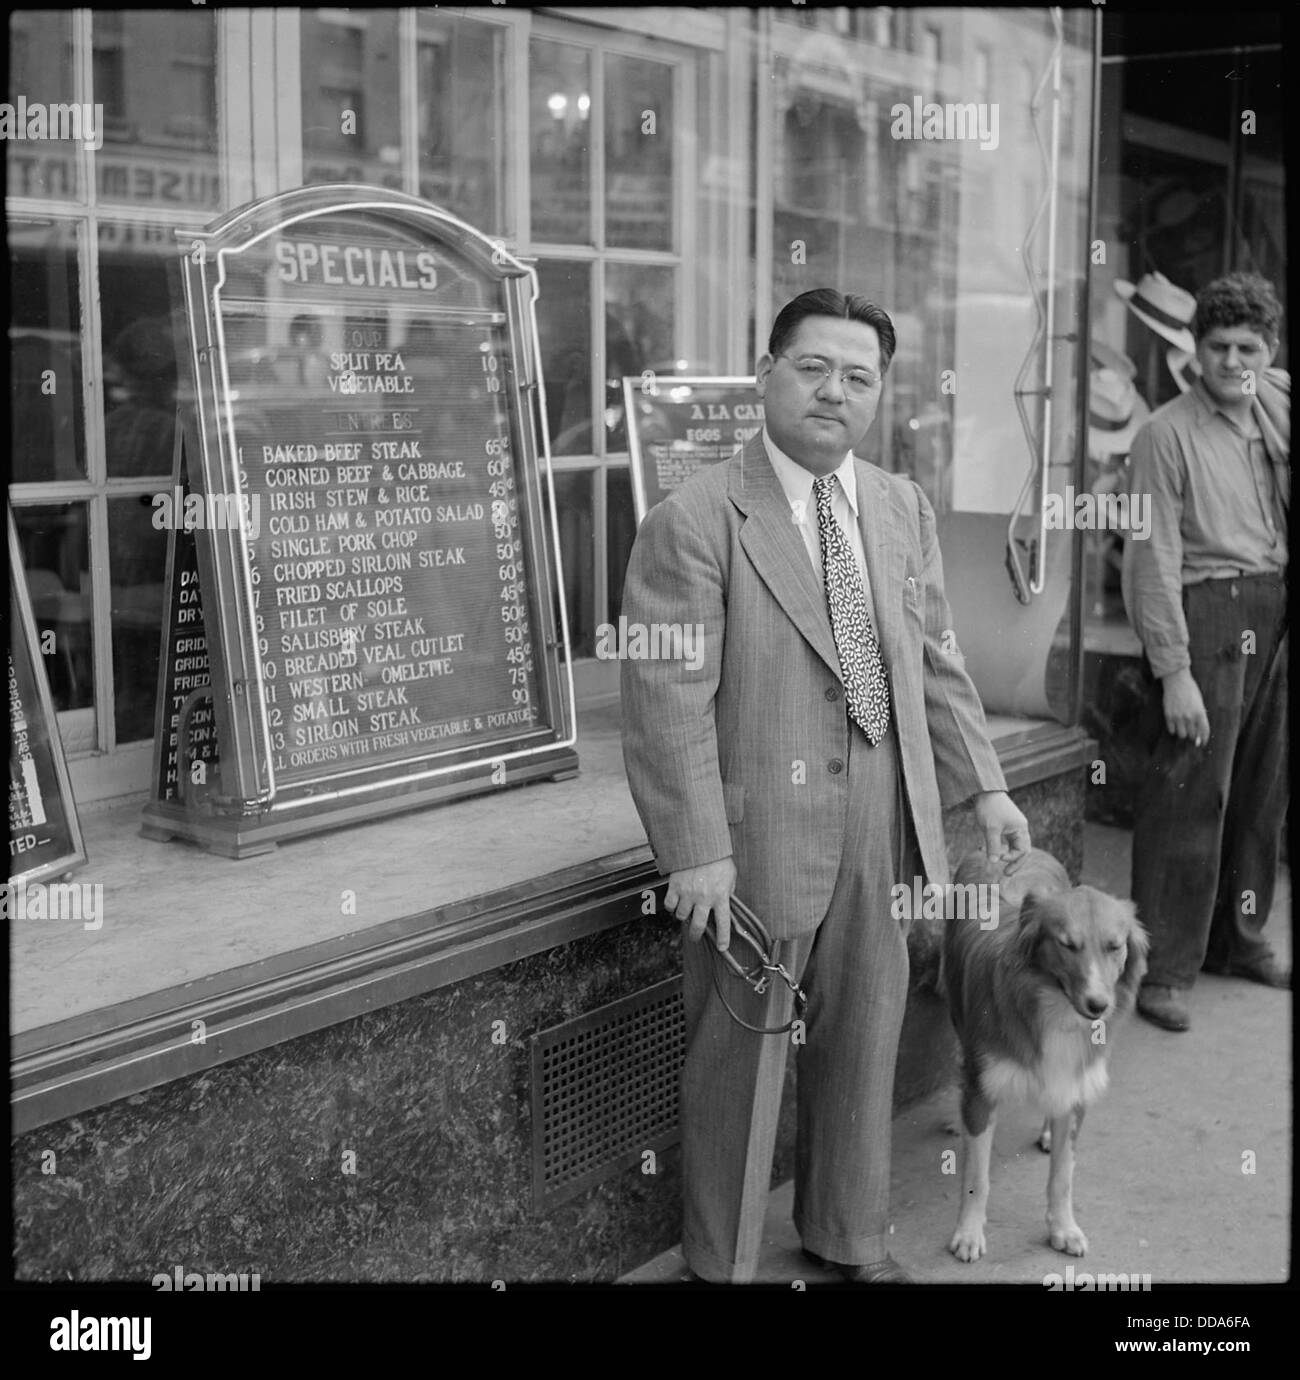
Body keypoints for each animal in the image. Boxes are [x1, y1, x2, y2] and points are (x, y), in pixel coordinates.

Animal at [943, 844, 1148, 1258]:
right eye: (1067, 945)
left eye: (1114, 946)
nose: (1098, 1005)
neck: (1055, 1007)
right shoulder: (981, 1089)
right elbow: (976, 1176)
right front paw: (969, 1233)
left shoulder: (1076, 1085)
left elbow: (1063, 1175)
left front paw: (1063, 1227)